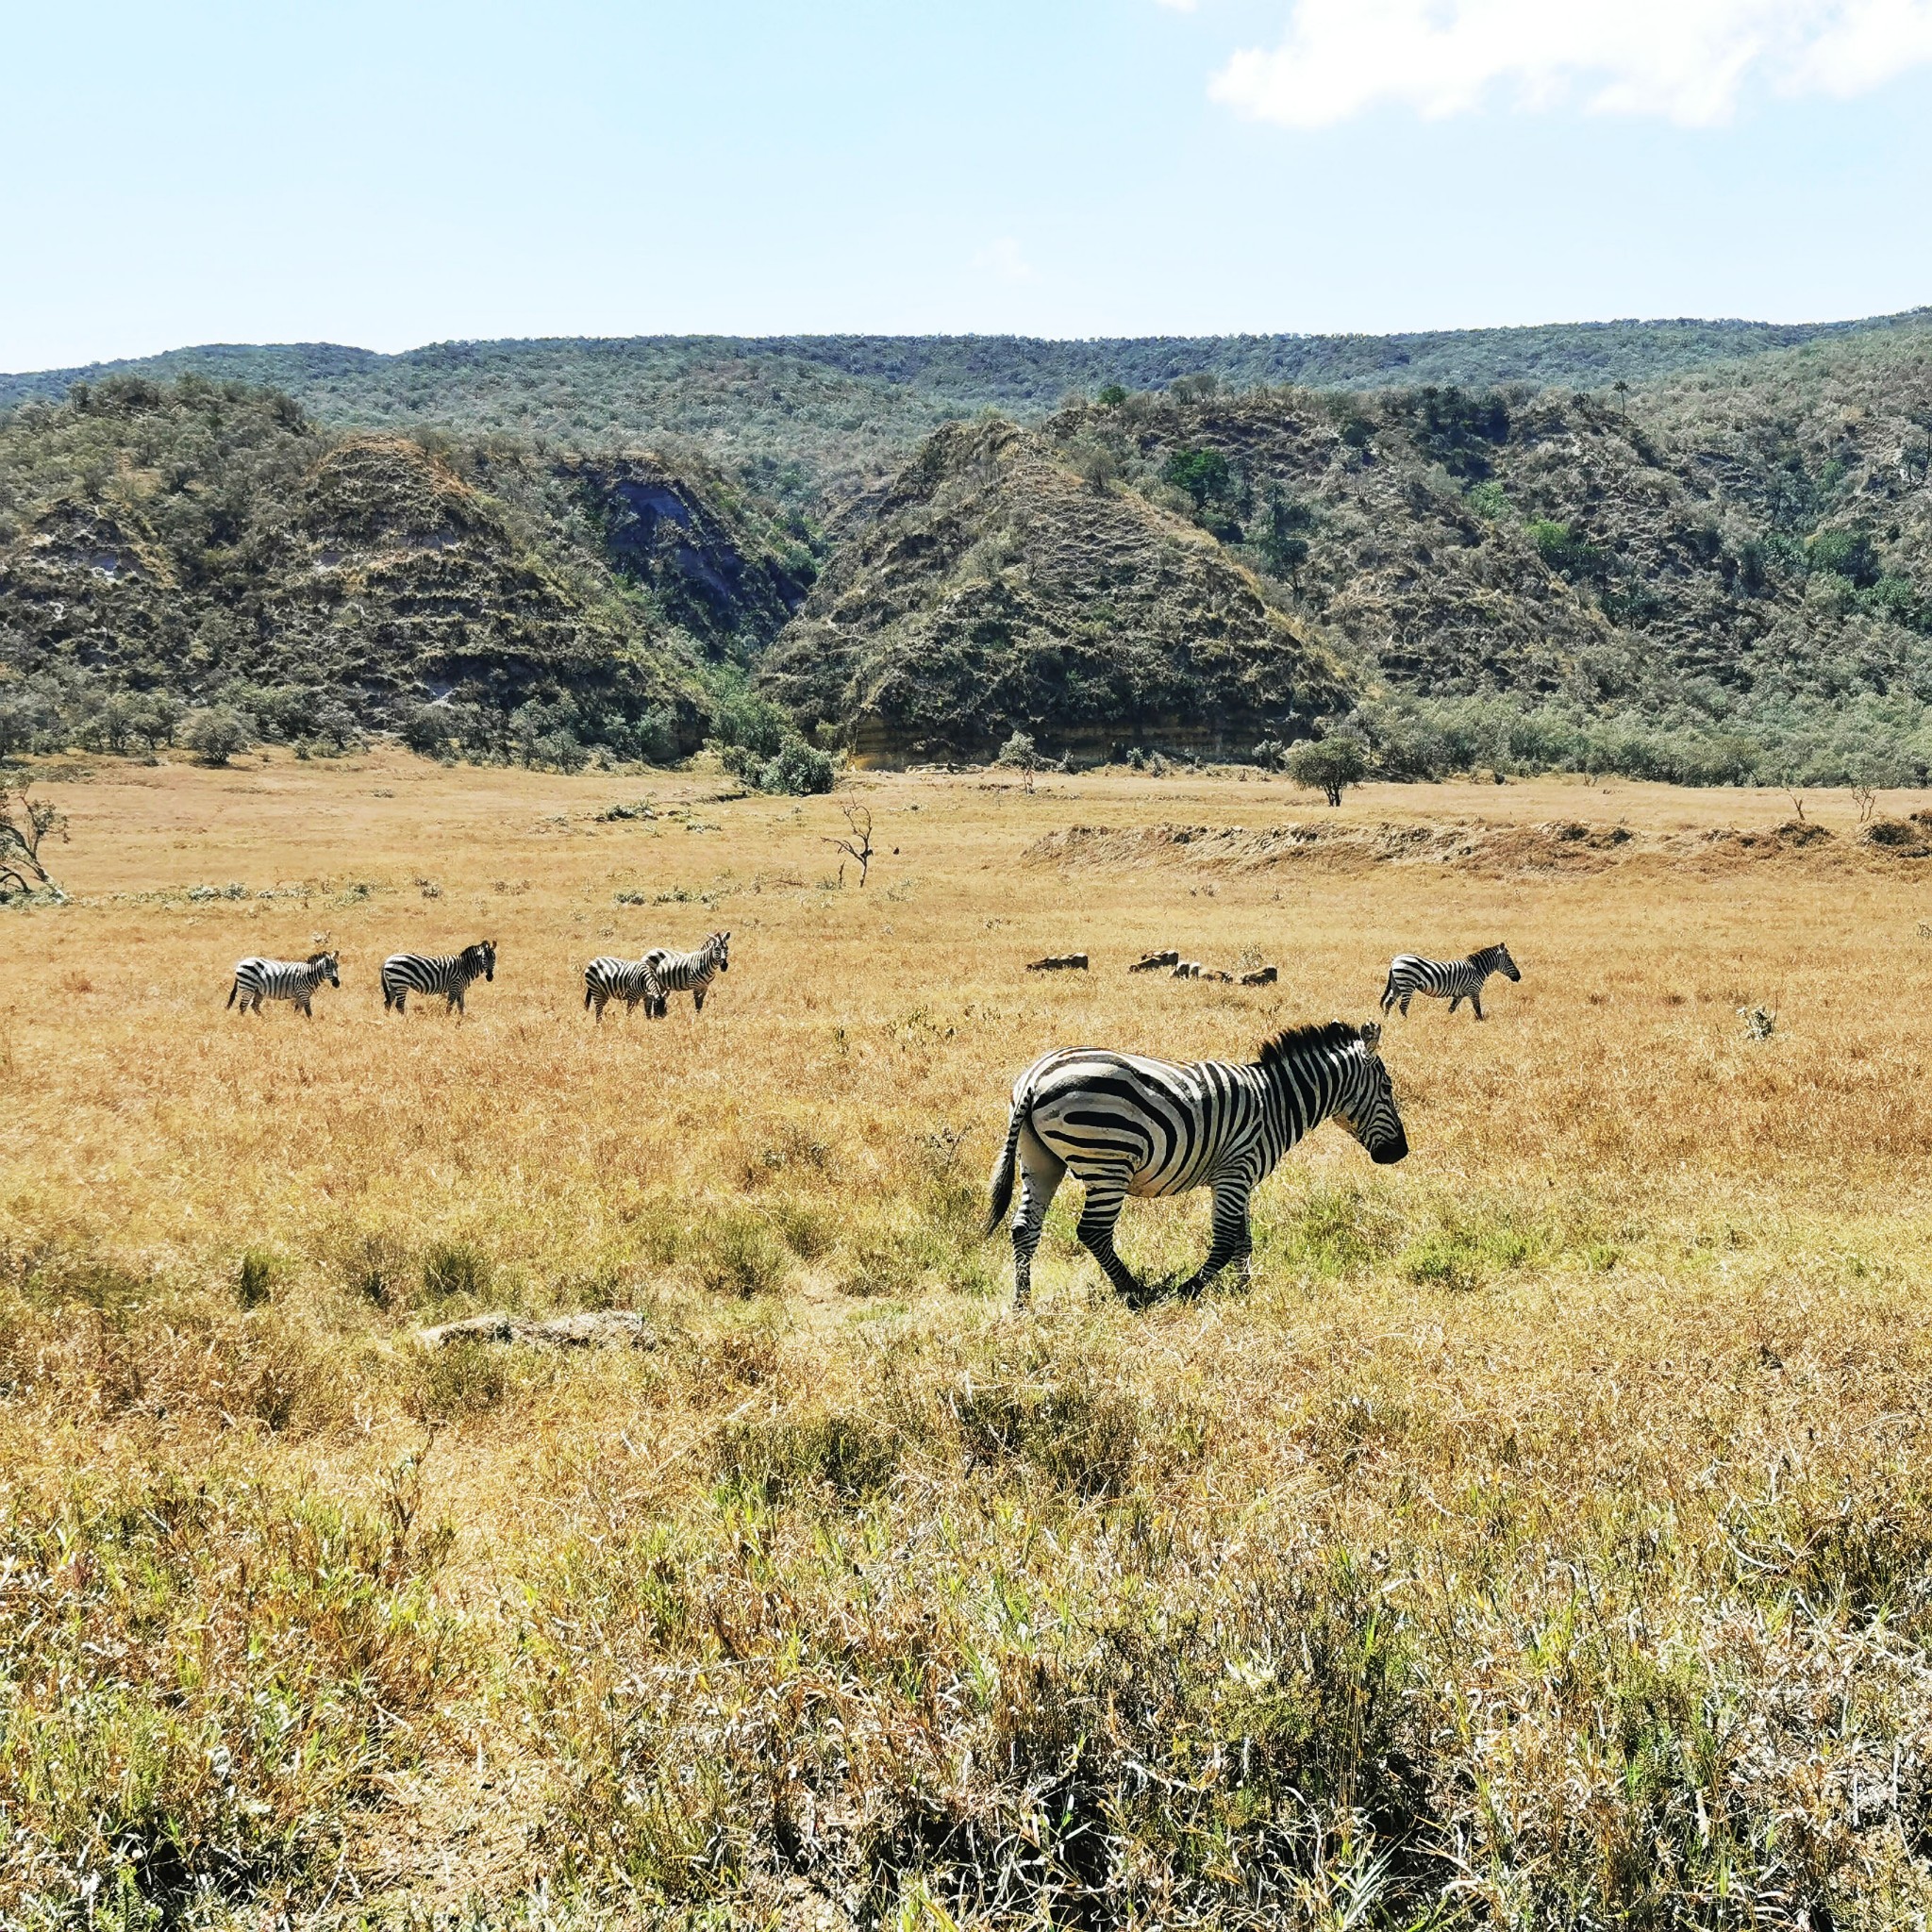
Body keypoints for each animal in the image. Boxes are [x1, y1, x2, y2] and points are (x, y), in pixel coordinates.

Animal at [989, 1012, 1414, 1313]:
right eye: (1388, 1087)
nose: (1400, 1153)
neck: (1278, 1102)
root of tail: (1035, 1078)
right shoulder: (1235, 1172)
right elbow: (1226, 1241)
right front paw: (1189, 1290)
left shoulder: (1240, 1178)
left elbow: (1244, 1239)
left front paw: (1246, 1291)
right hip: (1108, 1161)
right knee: (1093, 1231)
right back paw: (1135, 1291)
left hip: (1040, 1160)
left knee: (1024, 1228)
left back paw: (1023, 1302)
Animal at [1375, 939, 1522, 1020]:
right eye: (1510, 961)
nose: (1519, 977)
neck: (1478, 969)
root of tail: (1395, 961)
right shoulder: (1473, 990)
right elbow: (1478, 1009)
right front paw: (1482, 1022)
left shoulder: (1460, 994)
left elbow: (1451, 1009)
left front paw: (1446, 1022)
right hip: (1407, 984)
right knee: (1402, 1006)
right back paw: (1406, 1021)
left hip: (1397, 985)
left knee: (1388, 1002)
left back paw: (1386, 1020)